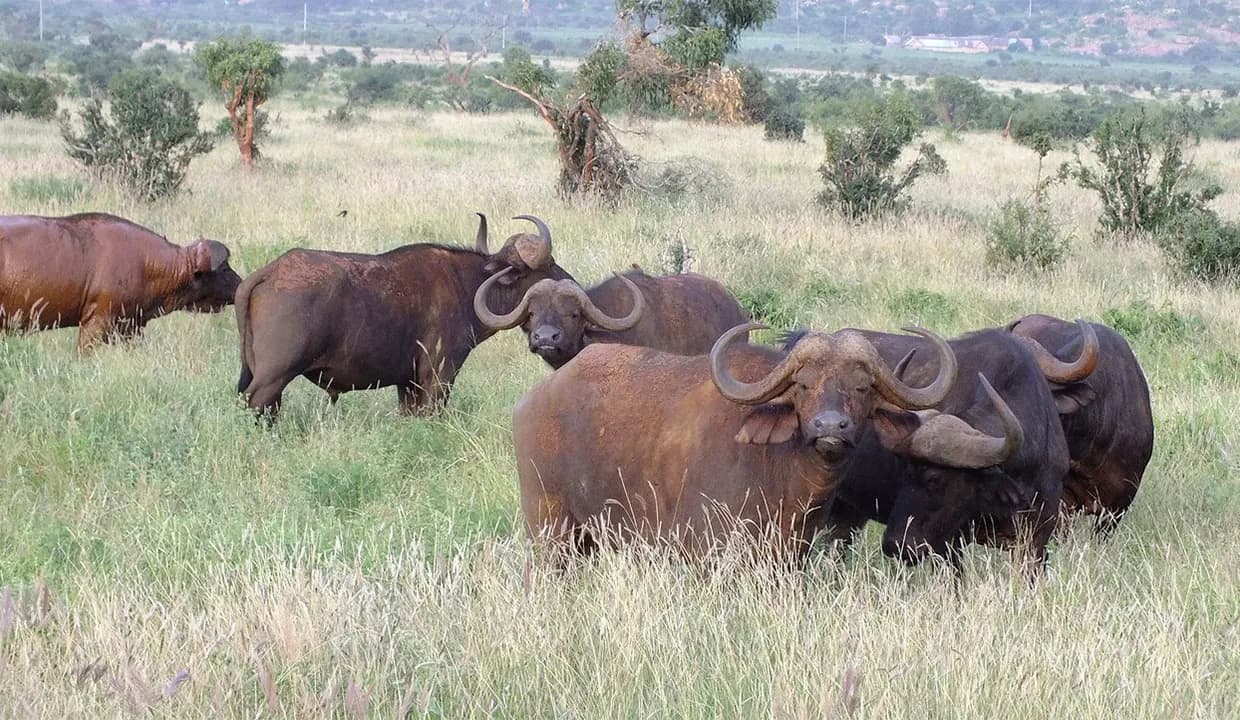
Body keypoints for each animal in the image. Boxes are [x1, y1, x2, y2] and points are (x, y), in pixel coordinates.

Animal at [235, 214, 570, 419]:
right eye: (550, 263)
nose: (571, 283)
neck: (469, 284)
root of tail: (270, 271)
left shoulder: (407, 383)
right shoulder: (439, 375)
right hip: (273, 378)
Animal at [512, 322, 967, 561]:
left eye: (862, 388)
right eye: (803, 385)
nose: (830, 428)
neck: (785, 480)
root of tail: (533, 401)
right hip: (549, 529)